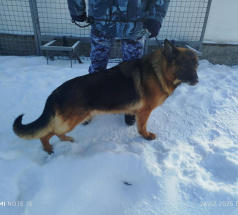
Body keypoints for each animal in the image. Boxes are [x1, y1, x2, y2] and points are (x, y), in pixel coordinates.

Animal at [13, 39, 199, 154]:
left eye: (196, 64)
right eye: (184, 65)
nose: (197, 81)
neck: (158, 71)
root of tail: (55, 92)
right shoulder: (145, 112)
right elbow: (142, 128)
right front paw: (145, 136)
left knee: (56, 132)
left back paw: (65, 140)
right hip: (72, 120)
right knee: (46, 134)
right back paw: (49, 150)